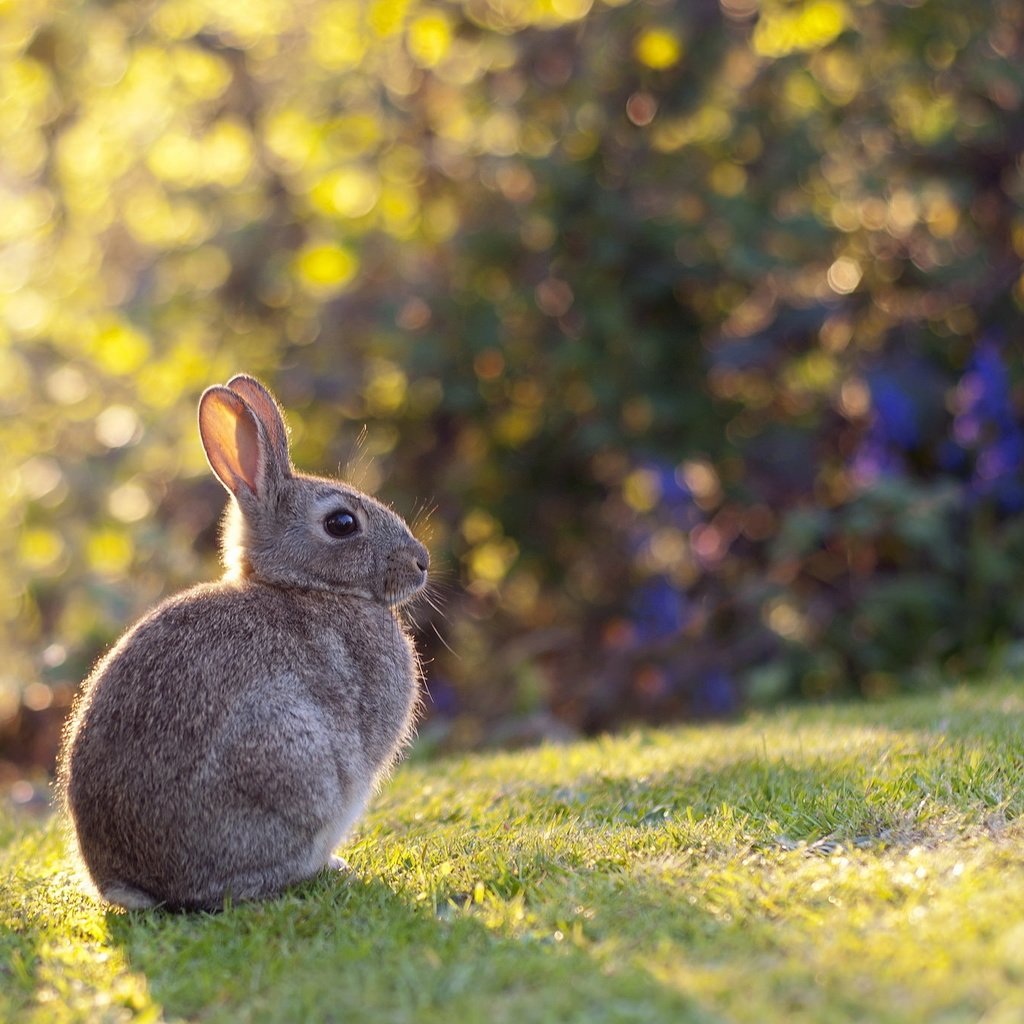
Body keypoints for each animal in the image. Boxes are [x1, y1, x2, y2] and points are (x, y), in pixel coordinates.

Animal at [54, 376, 430, 913]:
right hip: (290, 756)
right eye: (341, 523)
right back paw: (325, 868)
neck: (304, 587)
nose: (422, 562)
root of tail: (135, 883)